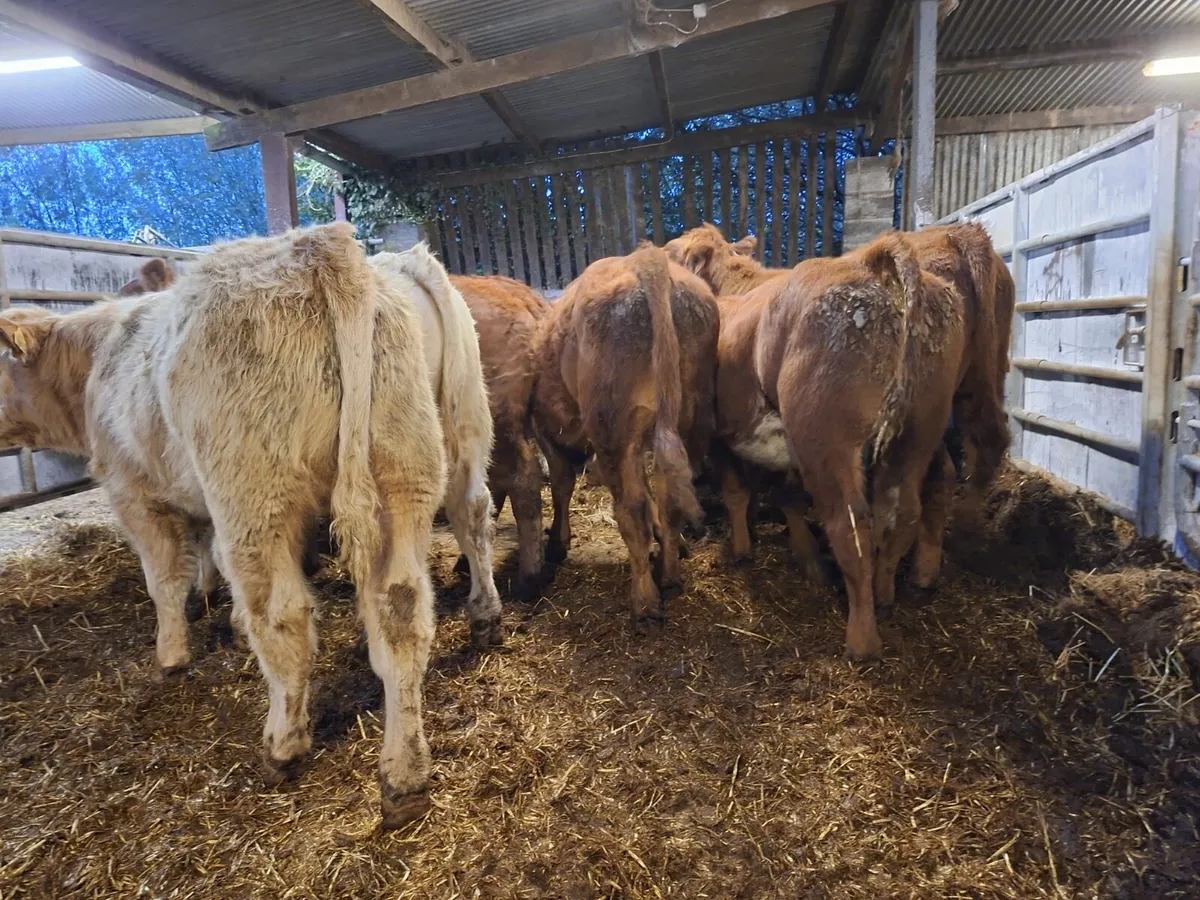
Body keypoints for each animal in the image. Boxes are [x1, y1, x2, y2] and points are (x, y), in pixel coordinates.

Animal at [0, 224, 446, 827]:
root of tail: (317, 244)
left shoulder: (133, 493)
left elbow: (163, 580)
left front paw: (171, 654)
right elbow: (205, 558)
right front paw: (217, 610)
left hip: (254, 496)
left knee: (283, 617)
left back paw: (284, 744)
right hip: (403, 472)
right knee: (401, 612)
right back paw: (404, 776)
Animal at [530, 244, 719, 628]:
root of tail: (644, 259)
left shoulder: (548, 431)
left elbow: (561, 483)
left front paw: (558, 542)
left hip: (612, 432)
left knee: (631, 510)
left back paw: (644, 602)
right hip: (690, 422)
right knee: (669, 496)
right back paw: (668, 572)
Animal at [679, 232, 966, 659]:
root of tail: (871, 261)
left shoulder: (722, 434)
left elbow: (737, 492)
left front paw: (742, 549)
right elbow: (786, 495)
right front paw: (804, 557)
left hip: (826, 437)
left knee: (851, 526)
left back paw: (862, 640)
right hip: (919, 430)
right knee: (901, 512)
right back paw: (885, 594)